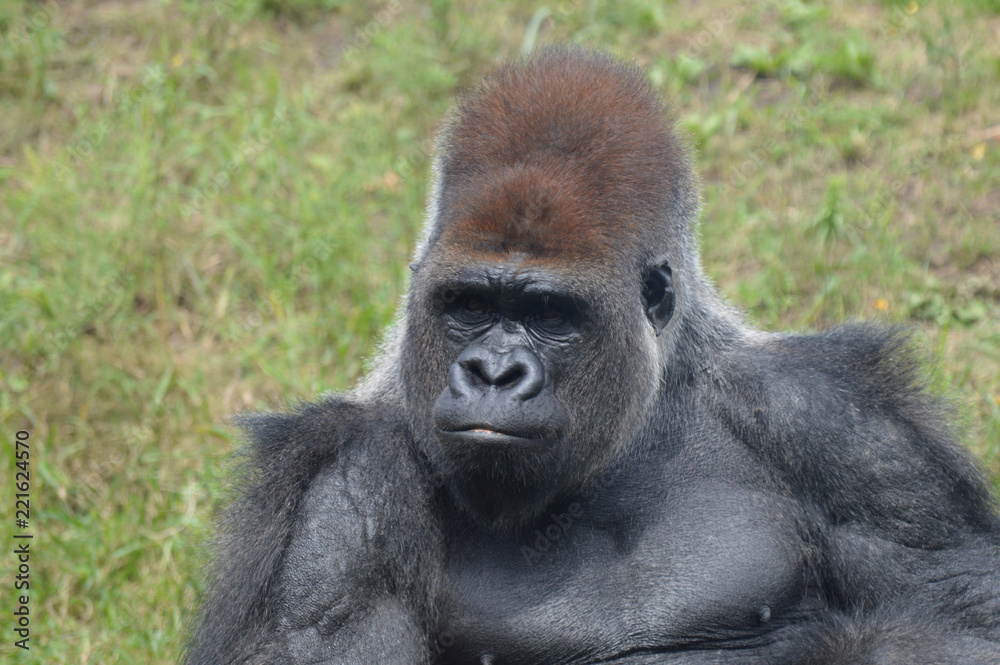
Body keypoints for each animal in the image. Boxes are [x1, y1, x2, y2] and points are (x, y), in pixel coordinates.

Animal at [186, 48, 1000, 664]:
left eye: (550, 315)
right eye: (469, 305)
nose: (492, 374)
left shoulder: (844, 427)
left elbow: (959, 612)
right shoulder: (337, 503)